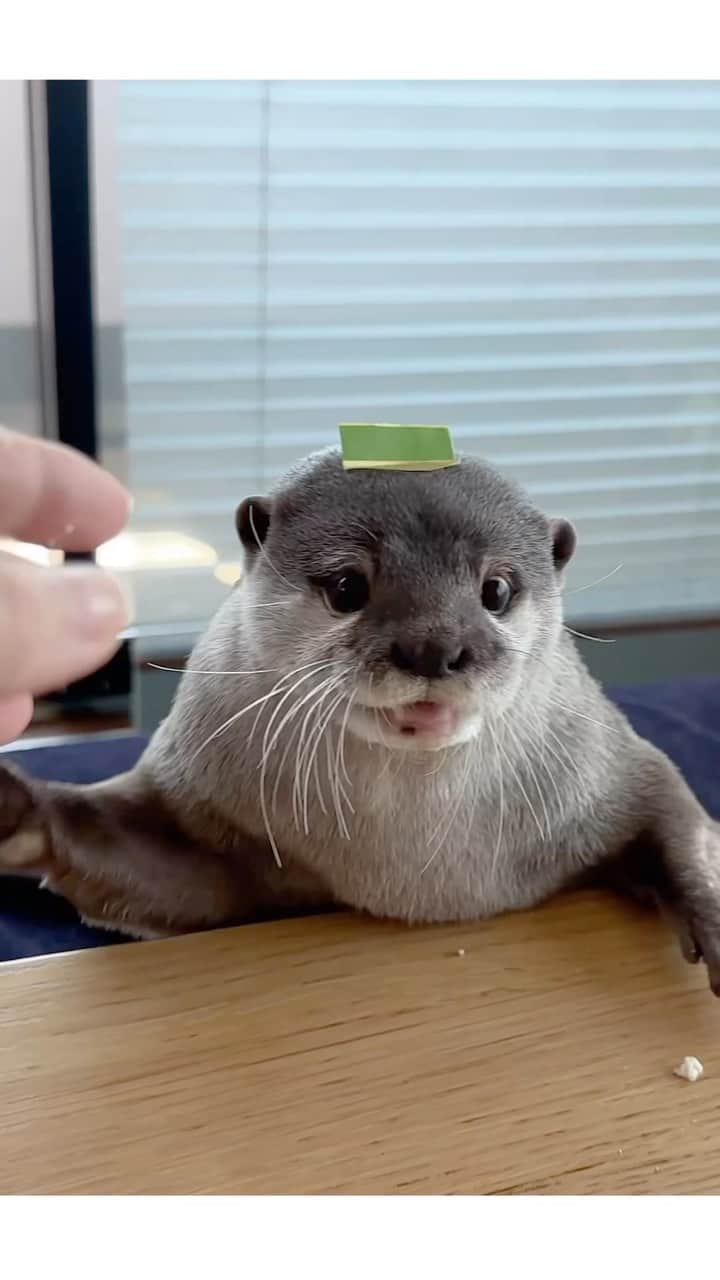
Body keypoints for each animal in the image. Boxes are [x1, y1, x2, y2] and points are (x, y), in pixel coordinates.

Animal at [1, 450, 717, 988]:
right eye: (347, 586)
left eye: (497, 590)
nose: (433, 646)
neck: (420, 873)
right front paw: (19, 811)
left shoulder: (609, 767)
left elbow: (674, 809)